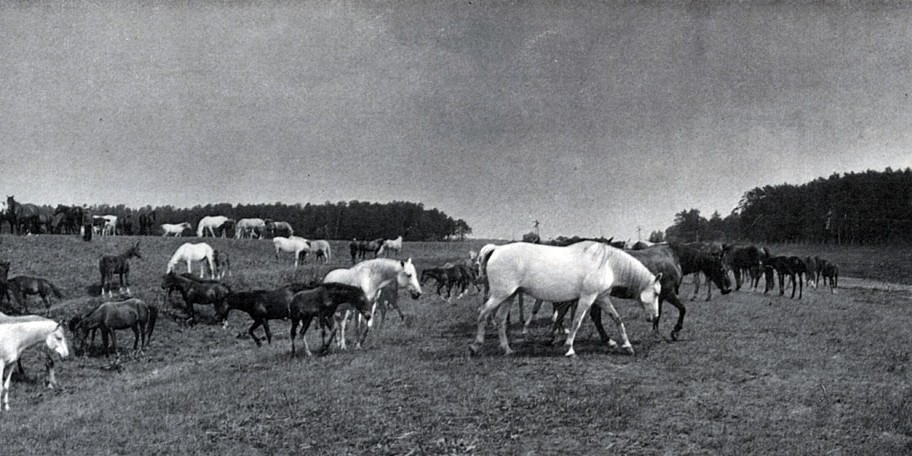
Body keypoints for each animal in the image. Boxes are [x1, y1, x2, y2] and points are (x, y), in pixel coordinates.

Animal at [471, 241, 661, 357]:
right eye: (656, 293)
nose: (654, 317)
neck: (607, 263)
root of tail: (496, 249)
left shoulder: (601, 298)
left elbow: (617, 319)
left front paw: (627, 346)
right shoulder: (587, 297)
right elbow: (576, 321)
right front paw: (569, 348)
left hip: (509, 296)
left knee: (500, 319)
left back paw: (507, 349)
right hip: (500, 295)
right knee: (482, 313)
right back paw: (475, 346)